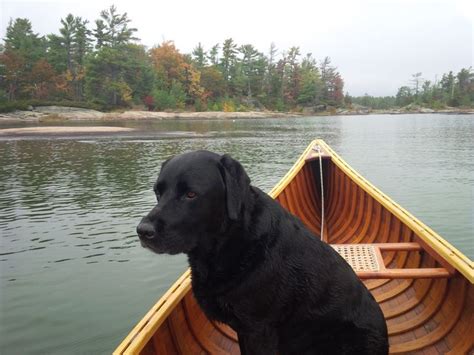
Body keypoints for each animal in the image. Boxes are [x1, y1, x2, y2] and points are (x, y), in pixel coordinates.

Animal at [137, 151, 388, 355]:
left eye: (190, 194)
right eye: (158, 192)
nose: (143, 231)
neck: (232, 243)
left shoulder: (259, 330)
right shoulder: (244, 331)